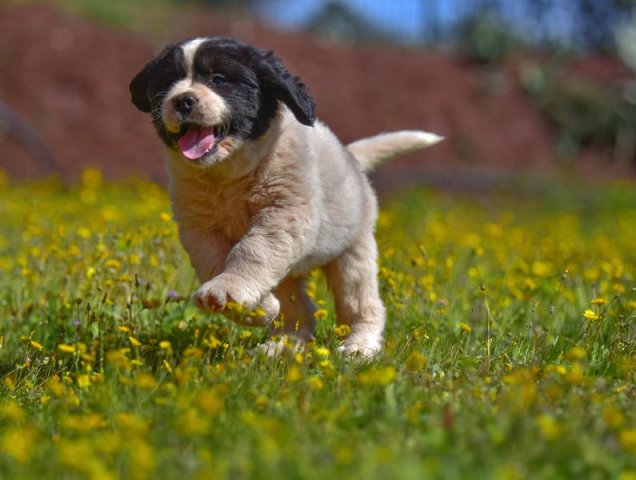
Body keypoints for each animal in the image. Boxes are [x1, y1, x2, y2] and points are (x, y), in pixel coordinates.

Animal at [129, 37, 442, 356]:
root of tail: (351, 158)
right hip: (293, 274)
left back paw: (359, 346)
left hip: (353, 250)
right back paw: (280, 347)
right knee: (299, 309)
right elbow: (214, 261)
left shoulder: (283, 213)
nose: (182, 100)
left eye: (218, 79)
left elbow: (252, 249)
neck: (230, 173)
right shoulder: (200, 228)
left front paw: (230, 292)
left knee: (361, 303)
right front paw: (257, 308)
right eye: (168, 82)